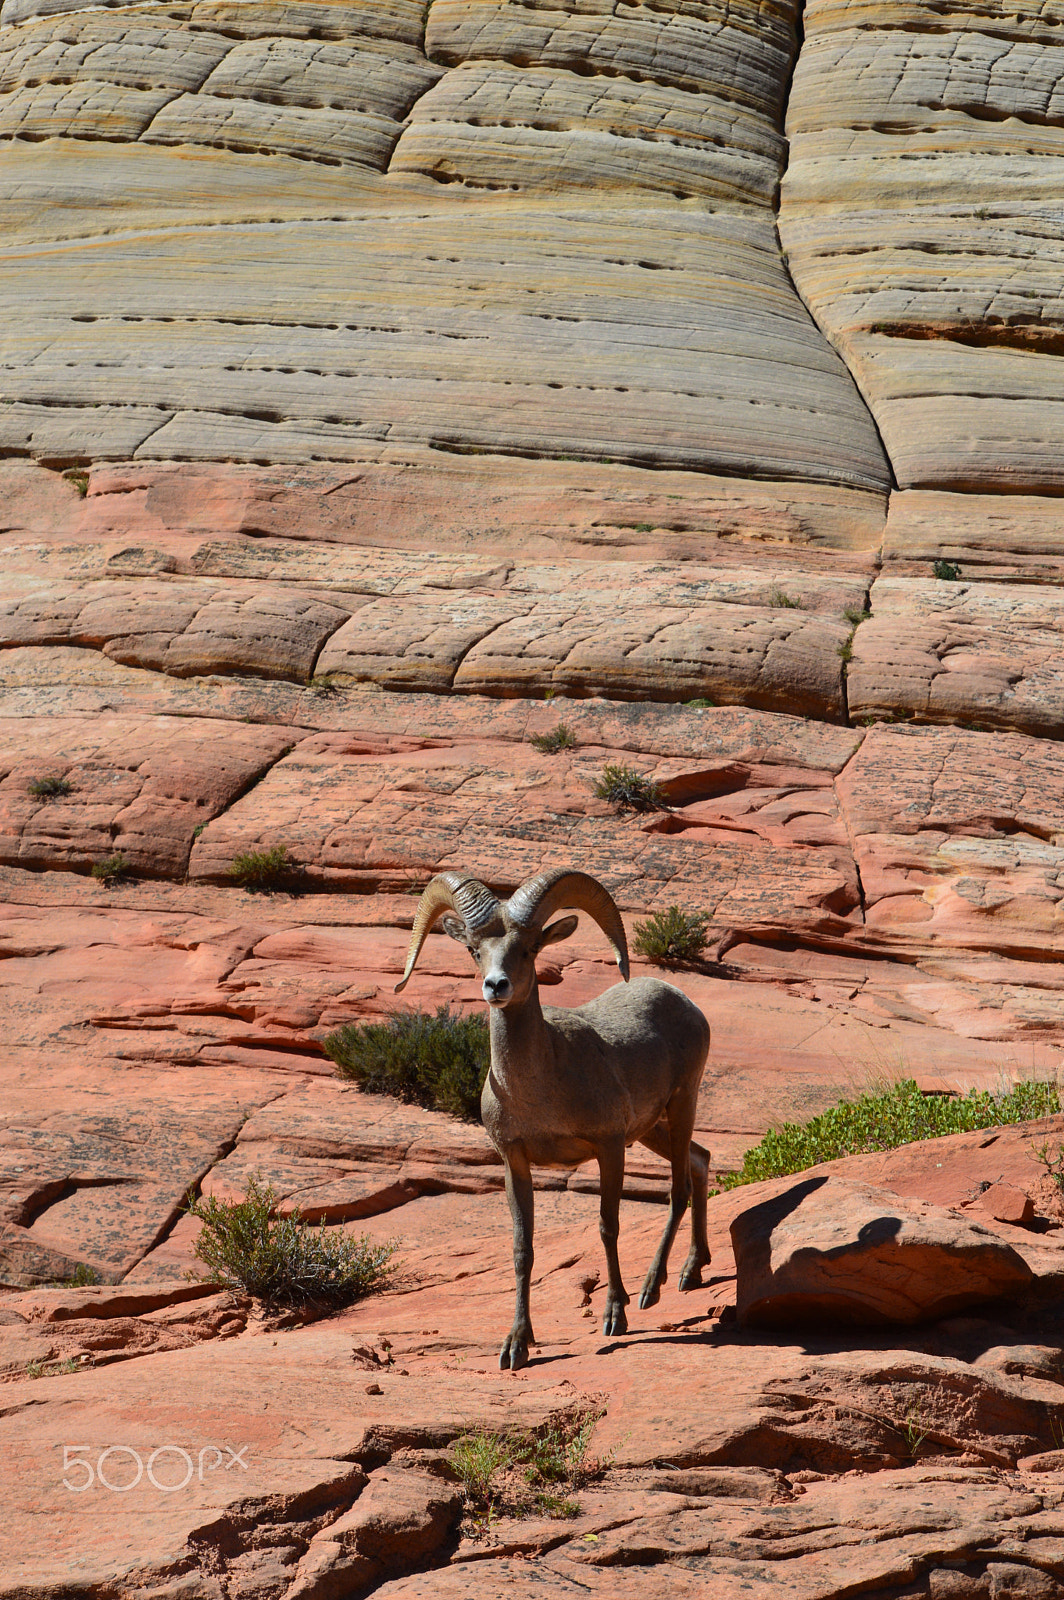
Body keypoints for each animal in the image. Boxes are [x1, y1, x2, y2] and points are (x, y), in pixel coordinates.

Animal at [395, 867, 712, 1371]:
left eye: (528, 949)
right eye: (475, 950)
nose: (496, 986)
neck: (541, 1089)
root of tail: (684, 1001)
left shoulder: (608, 1148)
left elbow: (607, 1227)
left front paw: (615, 1316)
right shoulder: (515, 1161)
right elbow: (522, 1248)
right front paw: (516, 1346)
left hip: (680, 1107)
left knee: (678, 1188)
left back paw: (653, 1288)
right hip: (652, 1130)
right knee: (700, 1161)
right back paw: (693, 1271)